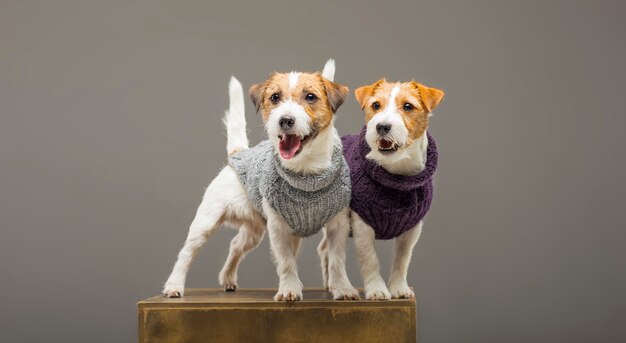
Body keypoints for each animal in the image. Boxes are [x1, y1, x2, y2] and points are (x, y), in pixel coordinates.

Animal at [161, 60, 358, 302]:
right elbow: (286, 262)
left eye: (310, 97)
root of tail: (238, 153)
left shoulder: (337, 226)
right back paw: (174, 285)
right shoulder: (278, 229)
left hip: (253, 231)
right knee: (187, 253)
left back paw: (227, 278)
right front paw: (289, 289)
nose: (285, 120)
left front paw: (343, 288)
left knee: (236, 245)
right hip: (205, 222)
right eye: (275, 97)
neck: (306, 172)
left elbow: (337, 261)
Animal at [316, 79, 444, 300]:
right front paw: (377, 289)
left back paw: (331, 286)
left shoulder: (411, 230)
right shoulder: (362, 225)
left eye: (408, 106)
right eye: (376, 105)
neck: (396, 174)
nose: (382, 126)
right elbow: (370, 260)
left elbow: (402, 259)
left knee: (325, 249)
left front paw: (399, 288)